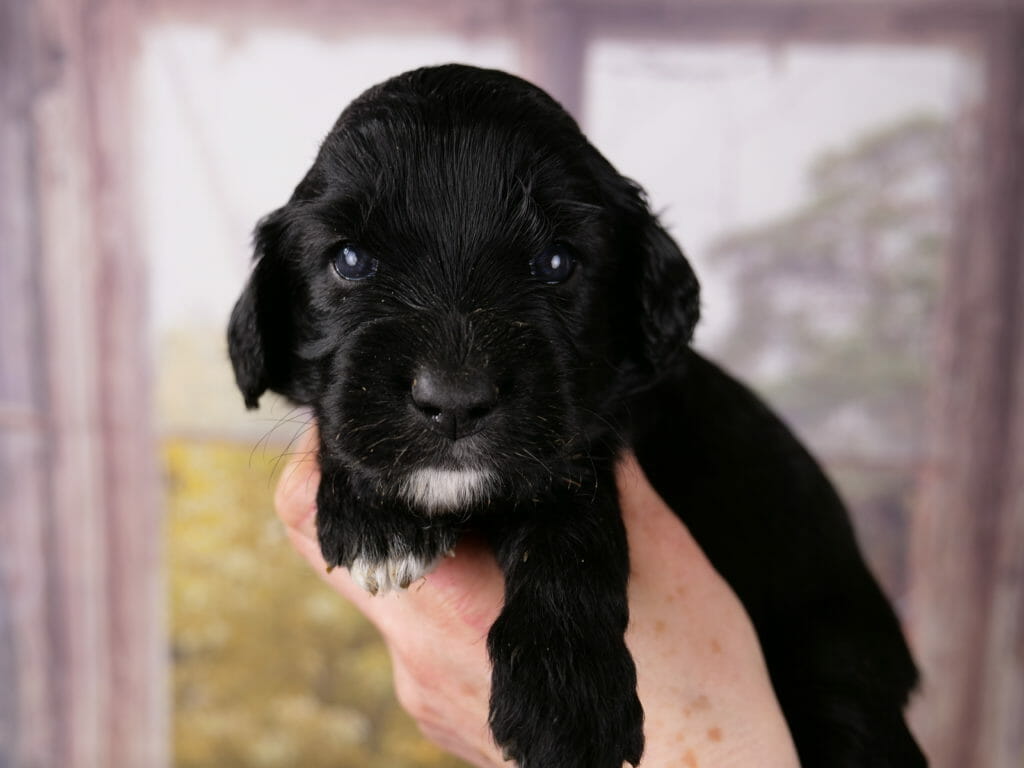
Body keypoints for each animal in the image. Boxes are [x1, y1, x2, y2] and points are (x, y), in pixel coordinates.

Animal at [230, 64, 921, 768]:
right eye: (349, 260)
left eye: (556, 263)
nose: (454, 399)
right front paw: (375, 512)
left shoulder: (588, 444)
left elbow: (570, 526)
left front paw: (567, 702)